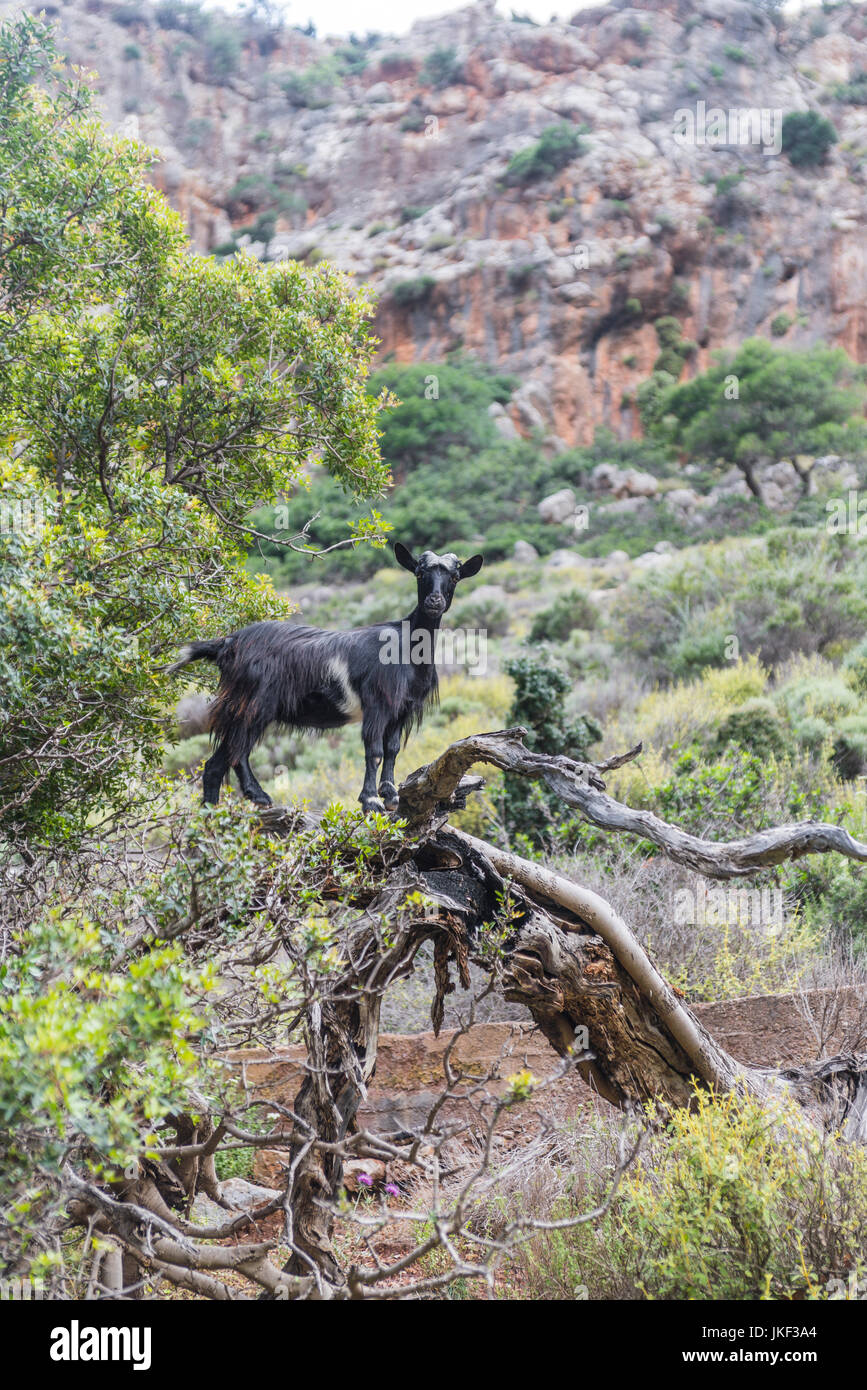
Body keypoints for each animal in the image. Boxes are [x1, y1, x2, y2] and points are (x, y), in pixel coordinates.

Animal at [167, 536, 480, 811]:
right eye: (419, 572)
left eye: (455, 577)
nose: (434, 601)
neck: (407, 649)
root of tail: (227, 642)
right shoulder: (378, 703)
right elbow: (374, 751)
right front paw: (370, 800)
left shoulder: (402, 708)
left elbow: (391, 749)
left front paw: (390, 794)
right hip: (254, 702)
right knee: (236, 752)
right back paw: (258, 797)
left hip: (242, 706)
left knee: (217, 763)